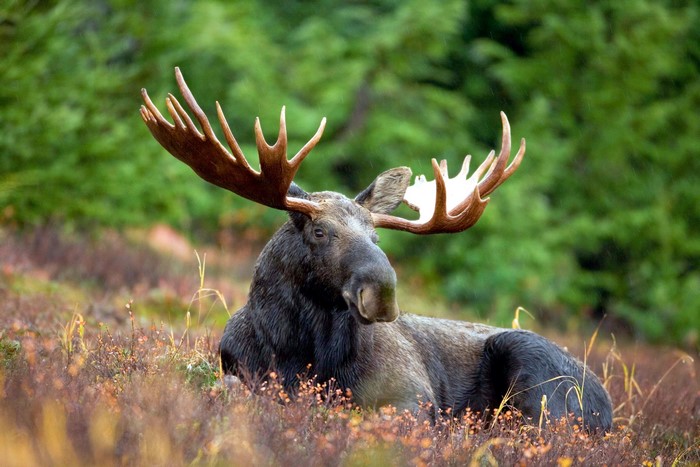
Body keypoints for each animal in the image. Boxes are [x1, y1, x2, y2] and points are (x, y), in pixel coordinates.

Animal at [140, 68, 613, 432]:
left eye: (376, 237)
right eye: (320, 232)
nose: (382, 292)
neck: (300, 352)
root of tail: (607, 407)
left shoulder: (413, 396)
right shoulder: (238, 370)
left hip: (536, 376)